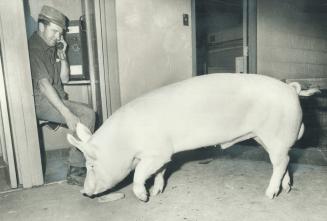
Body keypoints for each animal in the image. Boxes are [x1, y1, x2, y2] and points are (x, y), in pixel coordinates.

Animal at [66, 74, 320, 200]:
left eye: (90, 165)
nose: (84, 192)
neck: (124, 141)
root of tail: (292, 90)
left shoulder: (158, 152)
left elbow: (140, 174)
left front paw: (143, 197)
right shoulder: (162, 156)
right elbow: (160, 172)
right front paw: (157, 192)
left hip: (276, 134)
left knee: (282, 162)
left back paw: (269, 195)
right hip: (265, 138)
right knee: (285, 161)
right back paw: (286, 189)